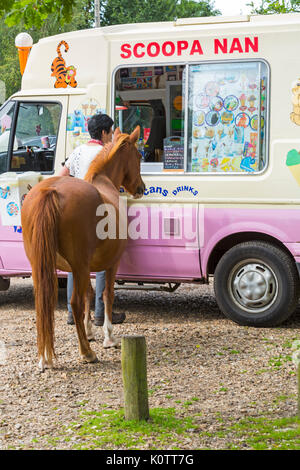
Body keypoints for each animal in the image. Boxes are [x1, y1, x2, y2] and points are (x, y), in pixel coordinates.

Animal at [21, 126, 144, 370]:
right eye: (138, 157)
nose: (141, 188)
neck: (103, 181)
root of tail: (50, 191)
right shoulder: (110, 263)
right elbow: (106, 295)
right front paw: (108, 337)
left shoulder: (84, 268)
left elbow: (89, 293)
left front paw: (88, 332)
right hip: (78, 265)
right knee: (75, 303)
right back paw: (87, 353)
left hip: (42, 266)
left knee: (44, 303)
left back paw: (45, 357)